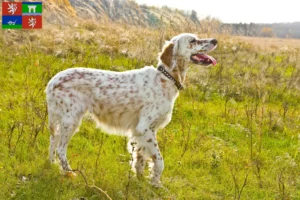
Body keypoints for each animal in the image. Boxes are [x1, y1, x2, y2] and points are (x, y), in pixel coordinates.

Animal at [45, 32, 218, 186]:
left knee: (53, 141)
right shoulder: (145, 128)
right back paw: (70, 173)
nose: (215, 40)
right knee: (61, 149)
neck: (165, 78)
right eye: (193, 40)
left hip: (63, 121)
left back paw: (52, 165)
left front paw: (140, 181)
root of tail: (52, 81)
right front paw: (156, 183)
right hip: (71, 120)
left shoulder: (140, 131)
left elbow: (140, 159)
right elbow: (159, 161)